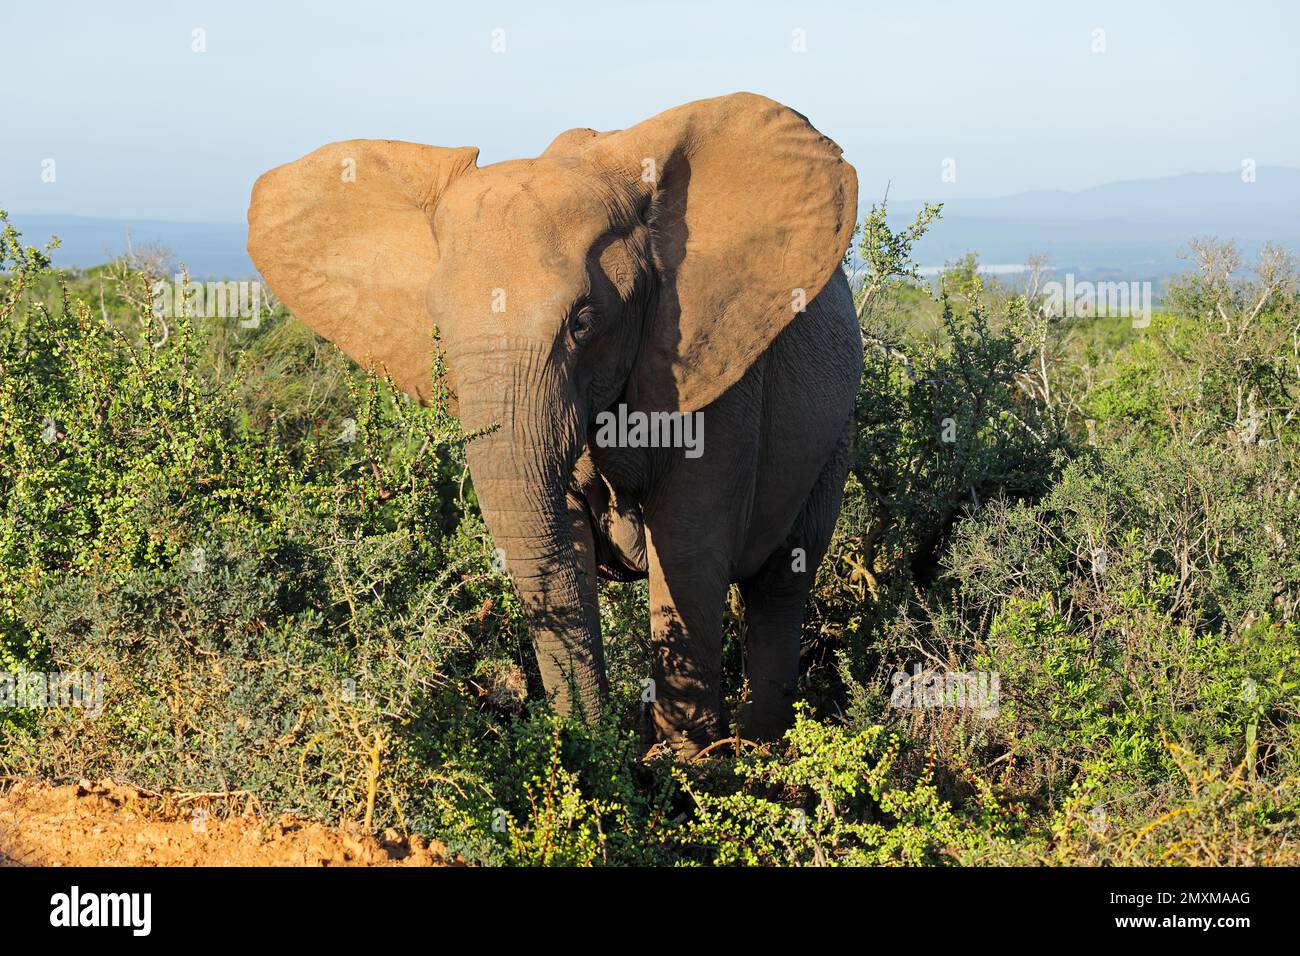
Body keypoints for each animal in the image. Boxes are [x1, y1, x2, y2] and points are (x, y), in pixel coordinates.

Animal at [249, 95, 863, 754]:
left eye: (584, 322)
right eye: (436, 329)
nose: (597, 746)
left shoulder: (722, 375)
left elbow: (688, 555)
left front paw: (690, 767)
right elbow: (561, 537)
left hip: (835, 431)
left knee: (782, 581)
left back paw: (760, 749)